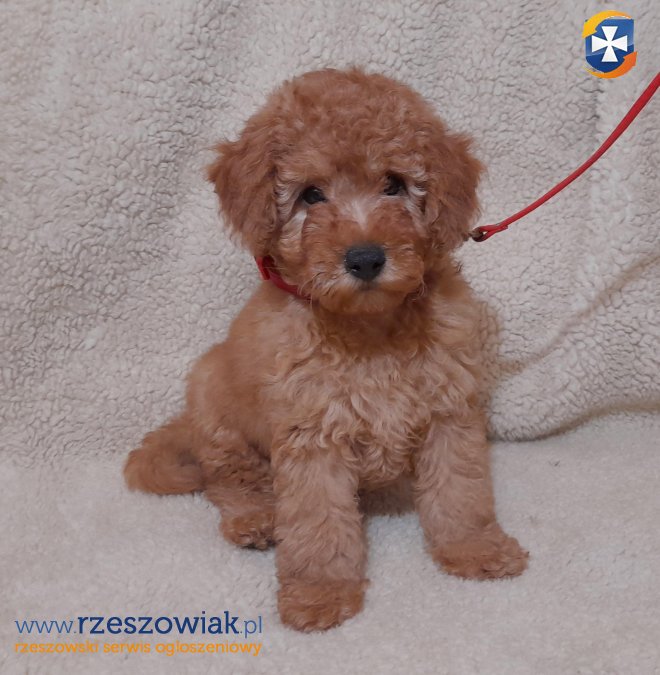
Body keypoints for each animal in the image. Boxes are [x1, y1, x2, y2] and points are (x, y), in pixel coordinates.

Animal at [124, 68, 528, 632]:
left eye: (394, 184)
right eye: (311, 196)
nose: (365, 258)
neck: (369, 328)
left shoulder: (449, 412)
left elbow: (460, 490)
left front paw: (474, 549)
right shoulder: (311, 433)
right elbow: (317, 521)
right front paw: (319, 592)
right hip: (215, 406)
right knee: (226, 478)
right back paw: (255, 518)